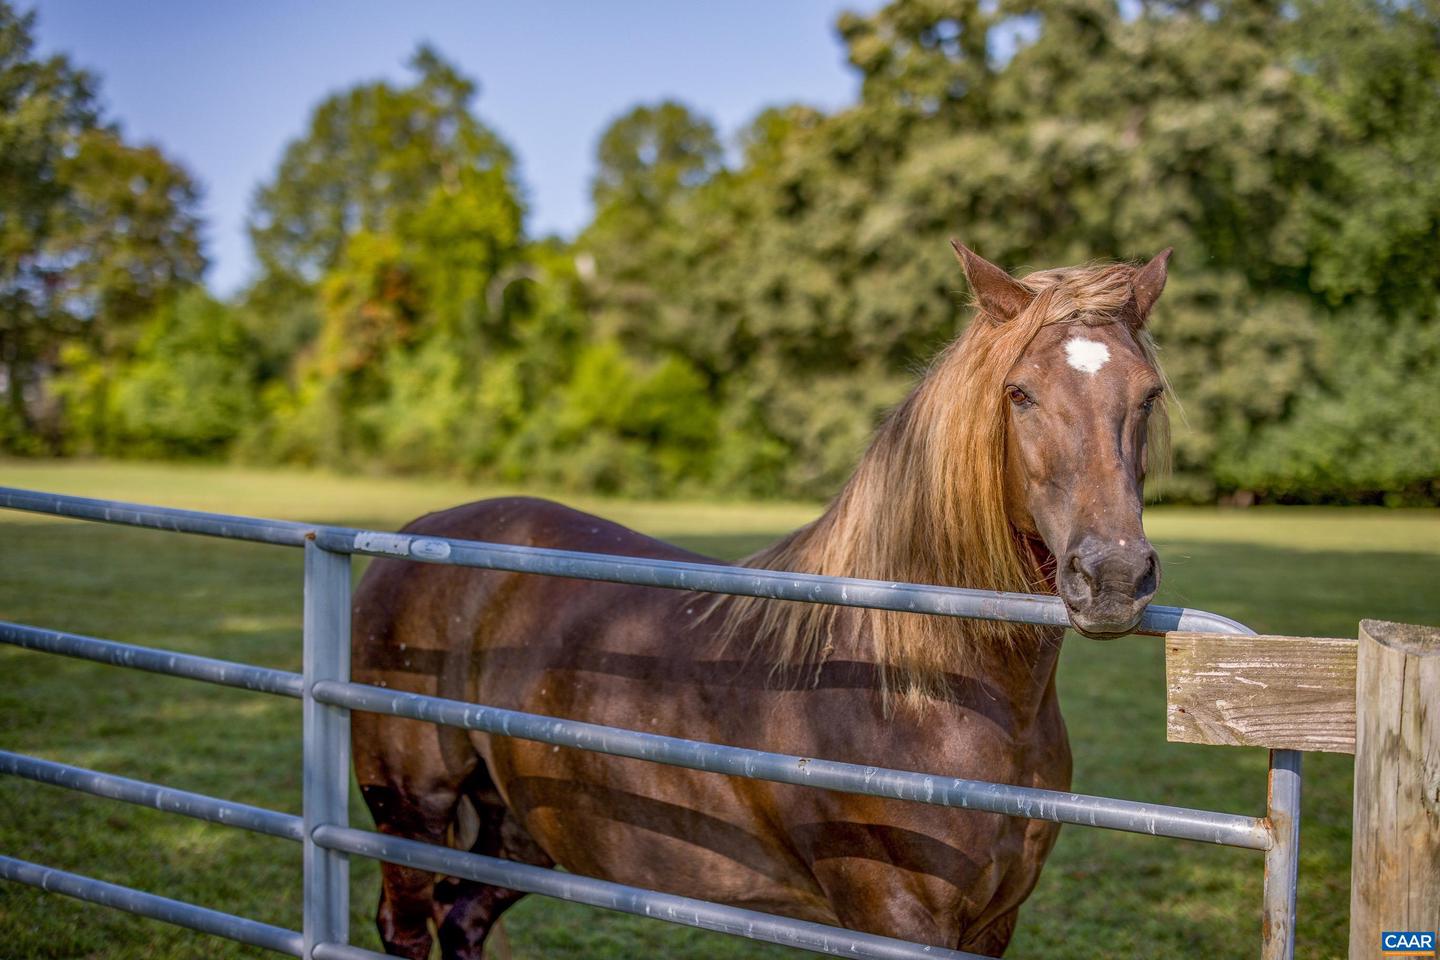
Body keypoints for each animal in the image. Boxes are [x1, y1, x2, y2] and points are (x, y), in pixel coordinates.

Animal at [348, 240, 1169, 955]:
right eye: (1019, 393)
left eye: (1149, 395)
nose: (1113, 576)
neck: (917, 680)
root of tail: (416, 532)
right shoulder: (899, 919)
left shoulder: (994, 922)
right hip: (411, 812)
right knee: (408, 925)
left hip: (521, 829)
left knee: (463, 920)